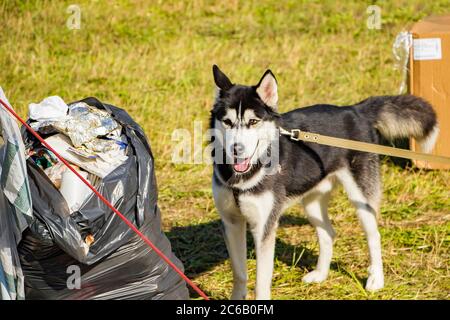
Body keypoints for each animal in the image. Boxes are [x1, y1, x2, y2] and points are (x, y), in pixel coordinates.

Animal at [211, 65, 440, 300]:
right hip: (312, 202)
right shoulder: (232, 223)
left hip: (361, 199)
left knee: (374, 234)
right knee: (328, 233)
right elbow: (239, 274)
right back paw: (321, 274)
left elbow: (261, 283)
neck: (241, 178)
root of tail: (355, 110)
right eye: (227, 122)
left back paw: (376, 279)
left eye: (253, 122)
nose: (236, 149)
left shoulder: (264, 228)